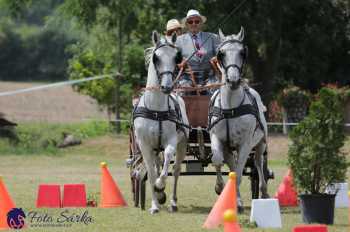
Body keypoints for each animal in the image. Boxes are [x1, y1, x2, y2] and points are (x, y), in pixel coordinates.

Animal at [133, 30, 189, 214]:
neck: (156, 109)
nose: (167, 87)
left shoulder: (171, 141)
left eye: (176, 57)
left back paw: (173, 202)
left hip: (182, 144)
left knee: (176, 170)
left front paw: (160, 186)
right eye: (156, 58)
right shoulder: (144, 145)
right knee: (156, 165)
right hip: (154, 149)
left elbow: (166, 166)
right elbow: (150, 173)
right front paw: (154, 205)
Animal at [209, 26, 270, 212]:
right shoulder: (217, 138)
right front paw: (219, 187)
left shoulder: (245, 143)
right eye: (221, 53)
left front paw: (236, 202)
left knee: (258, 163)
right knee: (232, 164)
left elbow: (239, 172)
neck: (230, 108)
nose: (234, 80)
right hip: (230, 147)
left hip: (260, 143)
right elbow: (217, 160)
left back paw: (263, 192)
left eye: (242, 53)